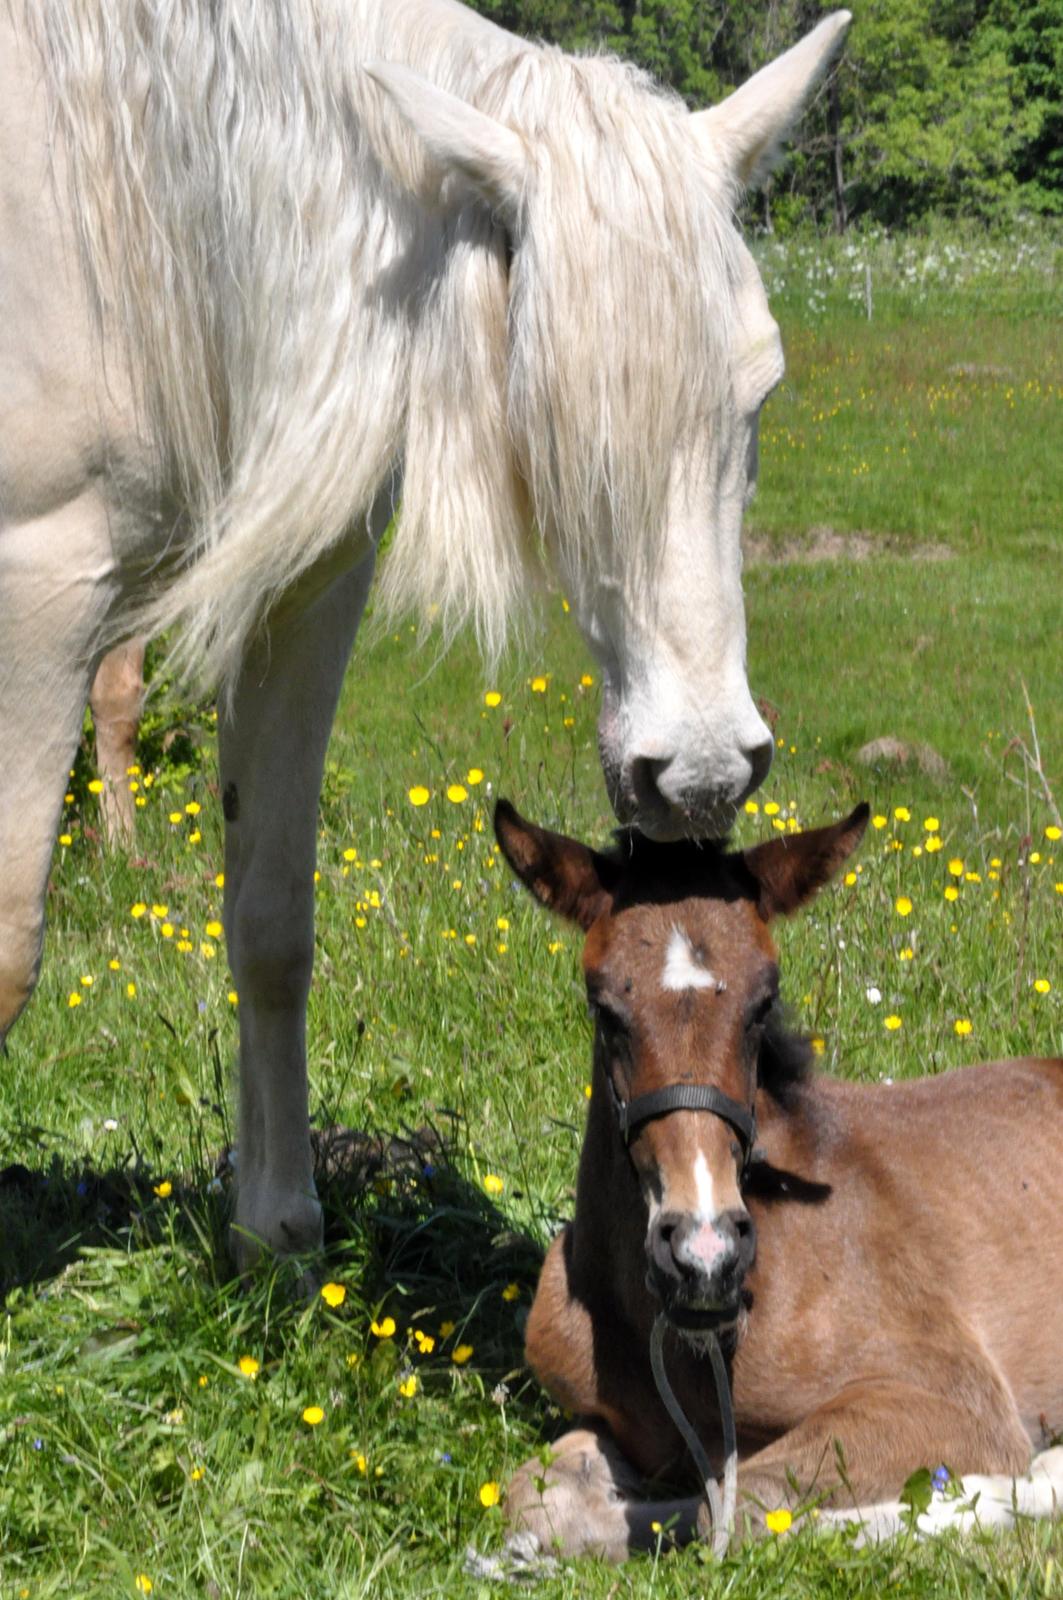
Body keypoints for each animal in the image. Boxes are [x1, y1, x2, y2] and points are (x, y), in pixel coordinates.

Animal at [0, 6, 845, 1267]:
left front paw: (277, 1233)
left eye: (759, 395)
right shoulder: (37, 595)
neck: (135, 198)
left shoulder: (299, 593)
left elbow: (271, 920)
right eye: (548, 409)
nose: (699, 773)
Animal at [496, 806, 1063, 1555]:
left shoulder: (951, 1399)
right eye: (603, 1008)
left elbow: (742, 1509)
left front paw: (988, 1496)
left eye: (764, 1002)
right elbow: (534, 1499)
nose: (704, 1255)